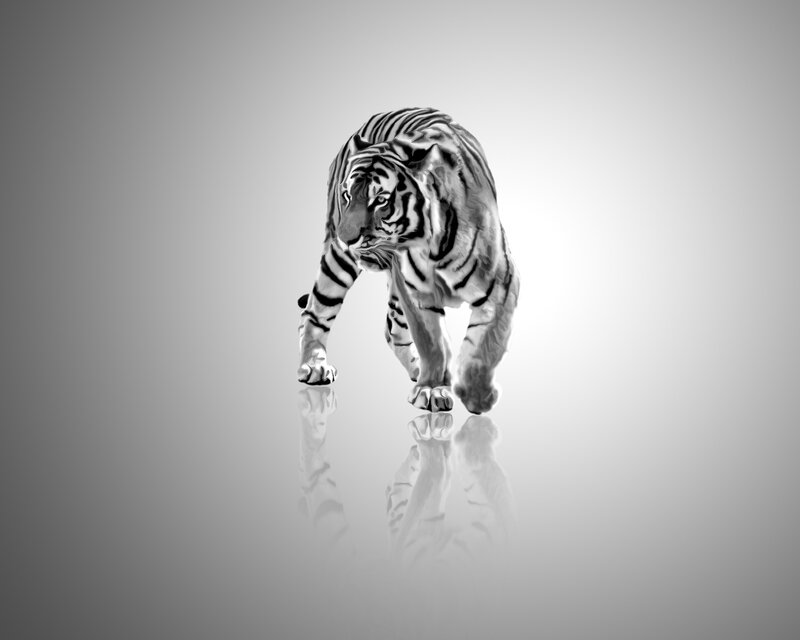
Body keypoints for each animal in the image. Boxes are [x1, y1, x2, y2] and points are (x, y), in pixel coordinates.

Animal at [297, 107, 520, 414]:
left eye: (380, 200)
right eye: (347, 195)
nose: (346, 238)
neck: (435, 244)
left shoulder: (501, 286)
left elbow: (486, 343)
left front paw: (475, 395)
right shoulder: (418, 294)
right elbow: (432, 342)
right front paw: (433, 390)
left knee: (392, 328)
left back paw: (418, 370)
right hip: (339, 264)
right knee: (315, 311)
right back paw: (314, 366)